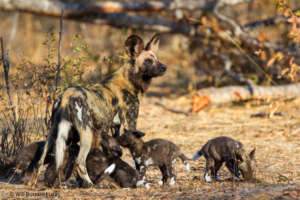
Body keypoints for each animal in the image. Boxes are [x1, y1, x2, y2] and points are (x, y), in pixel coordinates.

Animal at [34, 34, 169, 186]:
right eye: (148, 61)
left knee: (40, 160)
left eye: (157, 59)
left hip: (53, 133)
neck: (129, 81)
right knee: (80, 162)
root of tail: (66, 95)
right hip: (86, 134)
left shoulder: (115, 127)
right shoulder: (130, 124)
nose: (164, 67)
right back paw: (90, 184)